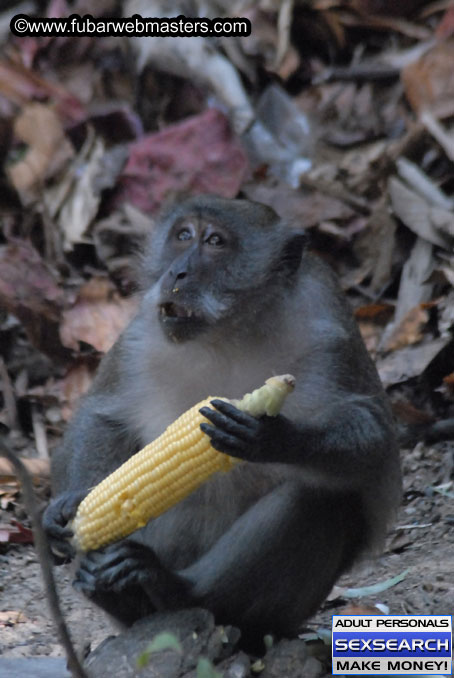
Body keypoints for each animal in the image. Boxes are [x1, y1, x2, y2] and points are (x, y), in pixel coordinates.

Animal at [42, 194, 400, 652]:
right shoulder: (138, 338)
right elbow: (103, 417)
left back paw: (176, 591)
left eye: (214, 241)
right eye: (183, 235)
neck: (231, 333)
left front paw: (275, 438)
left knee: (321, 499)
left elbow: (373, 438)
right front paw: (68, 511)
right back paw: (120, 595)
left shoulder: (328, 331)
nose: (177, 271)